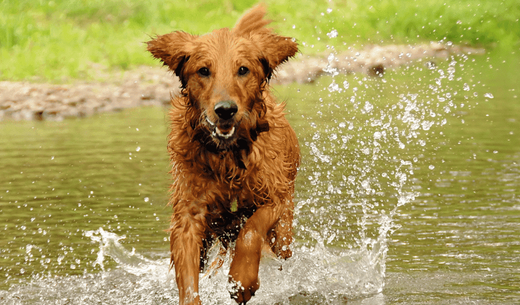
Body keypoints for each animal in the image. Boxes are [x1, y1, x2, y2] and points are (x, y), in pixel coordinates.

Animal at [146, 4, 300, 304]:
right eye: (204, 70)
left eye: (243, 70)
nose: (226, 110)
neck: (228, 157)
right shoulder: (189, 215)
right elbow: (187, 277)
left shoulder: (275, 197)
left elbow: (251, 230)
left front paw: (242, 280)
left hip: (284, 232)